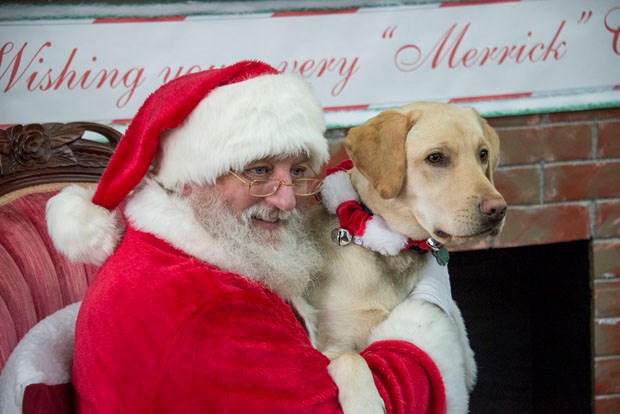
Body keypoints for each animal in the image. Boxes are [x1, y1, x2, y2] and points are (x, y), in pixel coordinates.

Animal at [304, 102, 504, 412]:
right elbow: (351, 358)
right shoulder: (331, 346)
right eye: (436, 158)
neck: (389, 252)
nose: (498, 209)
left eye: (482, 154)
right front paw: (366, 403)